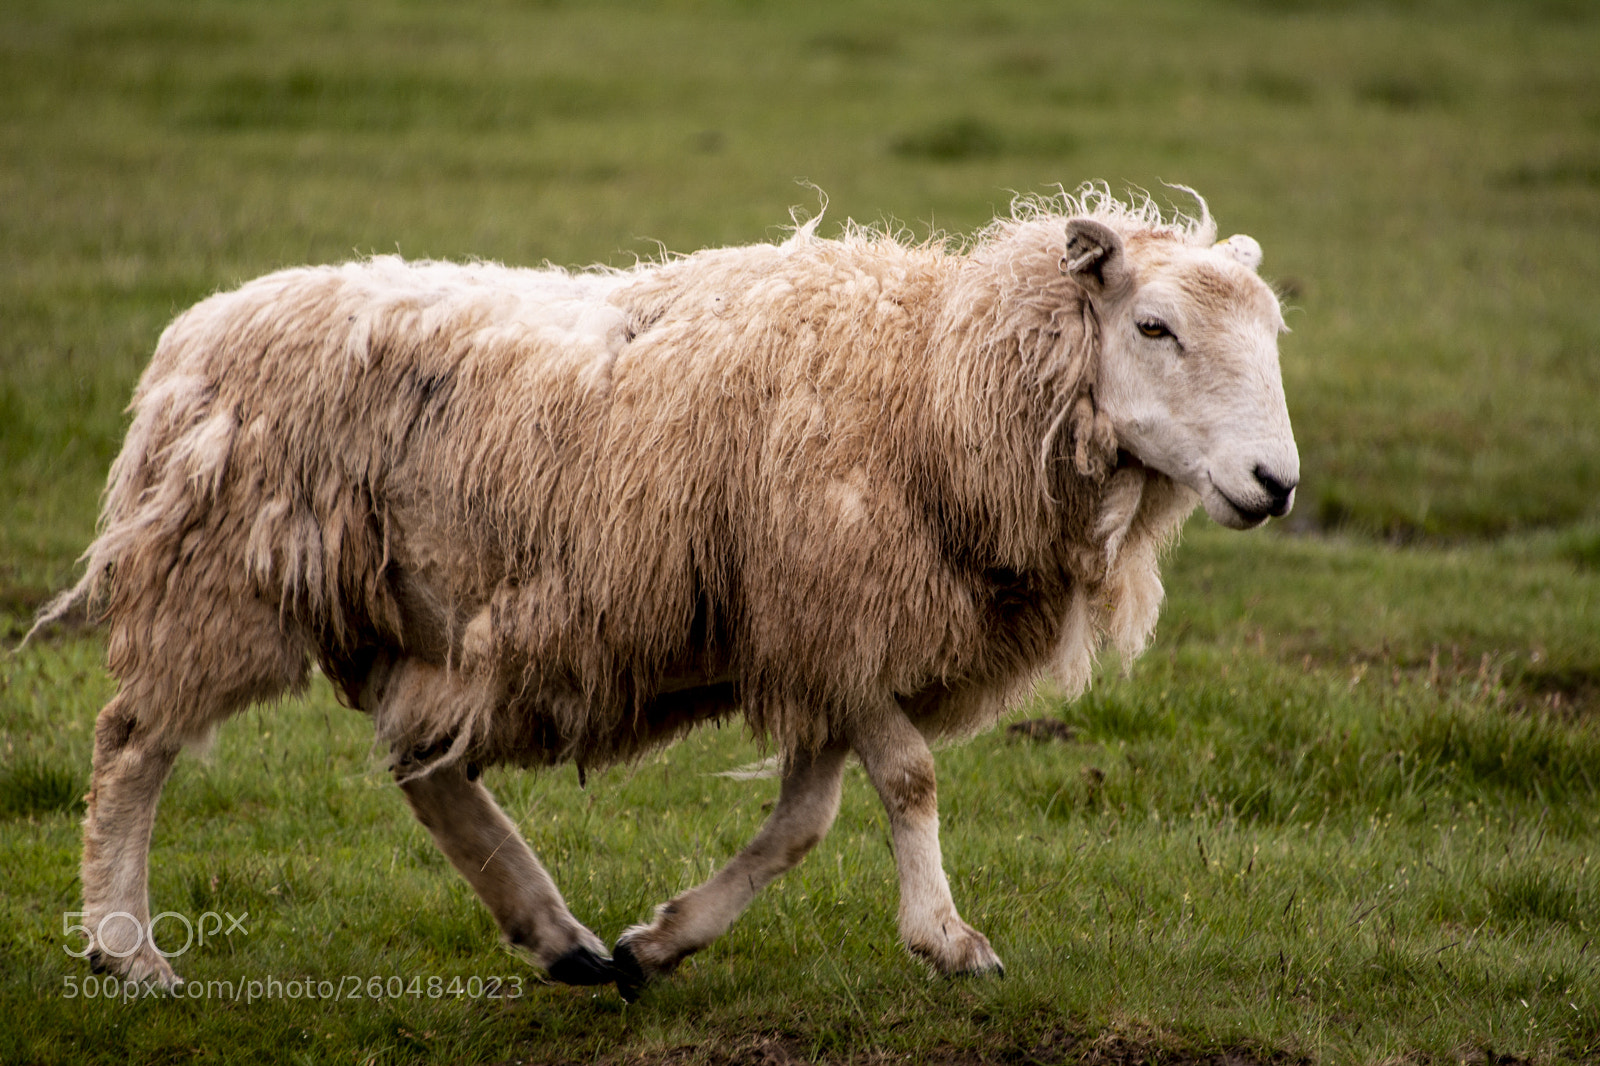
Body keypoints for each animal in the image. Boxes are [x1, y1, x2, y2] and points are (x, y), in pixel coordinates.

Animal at [33, 185, 1298, 999]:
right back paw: (125, 947)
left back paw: (558, 934)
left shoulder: (813, 642)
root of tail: (194, 334)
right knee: (132, 741)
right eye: (1153, 326)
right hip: (223, 583)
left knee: (422, 766)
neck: (934, 383)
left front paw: (666, 939)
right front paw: (947, 938)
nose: (1275, 483)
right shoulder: (829, 616)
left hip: (415, 623)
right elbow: (908, 779)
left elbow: (802, 820)